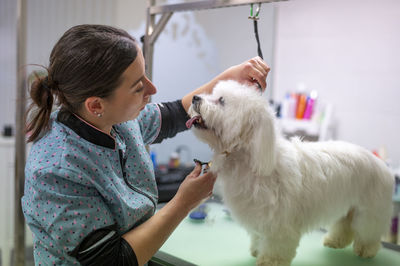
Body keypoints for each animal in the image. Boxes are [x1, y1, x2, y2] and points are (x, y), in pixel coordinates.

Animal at [187, 80, 394, 266]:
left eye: (222, 100)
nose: (195, 97)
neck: (253, 159)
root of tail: (381, 164)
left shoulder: (279, 224)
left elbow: (276, 246)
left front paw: (270, 261)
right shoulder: (260, 218)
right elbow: (258, 237)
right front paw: (257, 250)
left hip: (369, 211)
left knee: (369, 232)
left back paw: (366, 250)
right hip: (347, 206)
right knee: (345, 225)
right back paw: (335, 241)